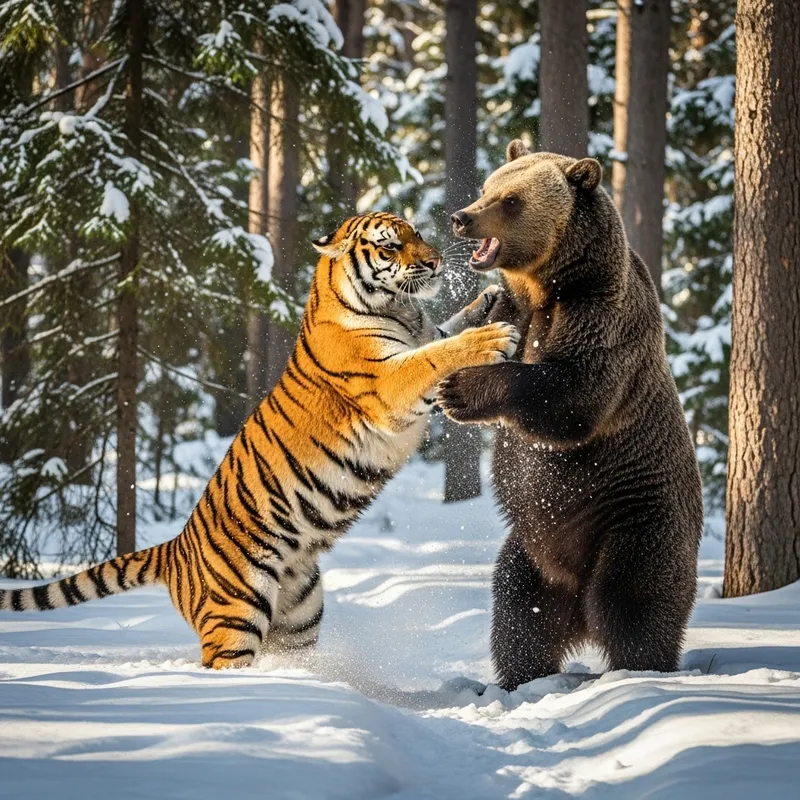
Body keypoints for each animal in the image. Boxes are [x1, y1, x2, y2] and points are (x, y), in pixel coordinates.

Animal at [437, 141, 704, 691]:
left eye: (511, 200)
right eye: (488, 186)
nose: (461, 217)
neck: (550, 287)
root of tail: (577, 600)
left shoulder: (601, 316)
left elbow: (572, 393)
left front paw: (459, 388)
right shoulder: (520, 309)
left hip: (635, 520)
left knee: (631, 603)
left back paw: (637, 671)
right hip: (532, 548)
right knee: (518, 610)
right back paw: (519, 678)